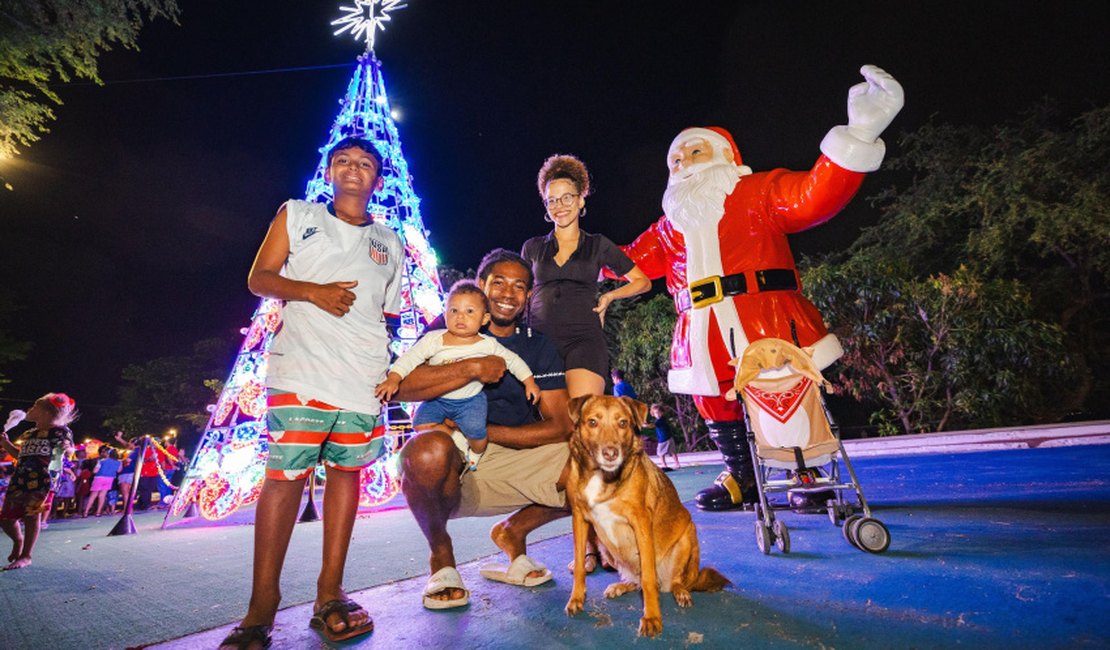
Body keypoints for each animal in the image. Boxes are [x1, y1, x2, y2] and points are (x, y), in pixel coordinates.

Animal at [563, 392, 728, 634]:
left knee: (671, 582)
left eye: (623, 423)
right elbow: (580, 567)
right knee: (637, 581)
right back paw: (622, 586)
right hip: (606, 550)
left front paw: (651, 618)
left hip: (688, 535)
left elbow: (648, 579)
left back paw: (680, 592)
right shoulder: (579, 520)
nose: (611, 454)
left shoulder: (640, 522)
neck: (602, 476)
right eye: (592, 422)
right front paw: (576, 599)